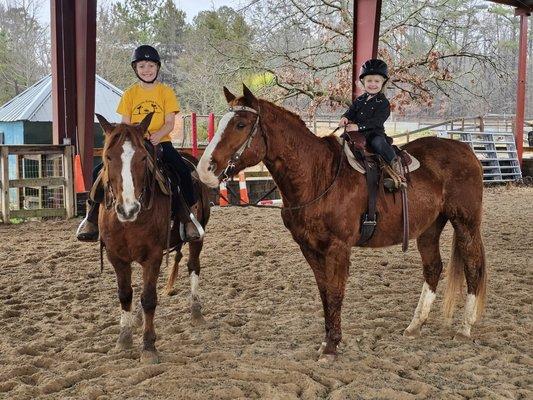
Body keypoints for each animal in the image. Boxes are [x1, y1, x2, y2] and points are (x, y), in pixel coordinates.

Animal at [95, 112, 210, 362]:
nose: (128, 209)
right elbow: (125, 295)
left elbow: (149, 298)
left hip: (198, 236)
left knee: (193, 266)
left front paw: (148, 347)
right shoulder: (116, 256)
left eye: (142, 157)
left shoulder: (154, 255)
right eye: (108, 157)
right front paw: (124, 337)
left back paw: (196, 312)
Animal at [196, 86, 486, 360]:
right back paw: (415, 326)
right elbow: (325, 293)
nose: (204, 170)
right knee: (433, 268)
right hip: (429, 228)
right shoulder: (309, 248)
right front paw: (328, 340)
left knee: (473, 266)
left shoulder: (338, 248)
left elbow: (335, 292)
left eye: (240, 124)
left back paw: (464, 328)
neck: (318, 175)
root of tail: (465, 150)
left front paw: (331, 346)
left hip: (465, 223)